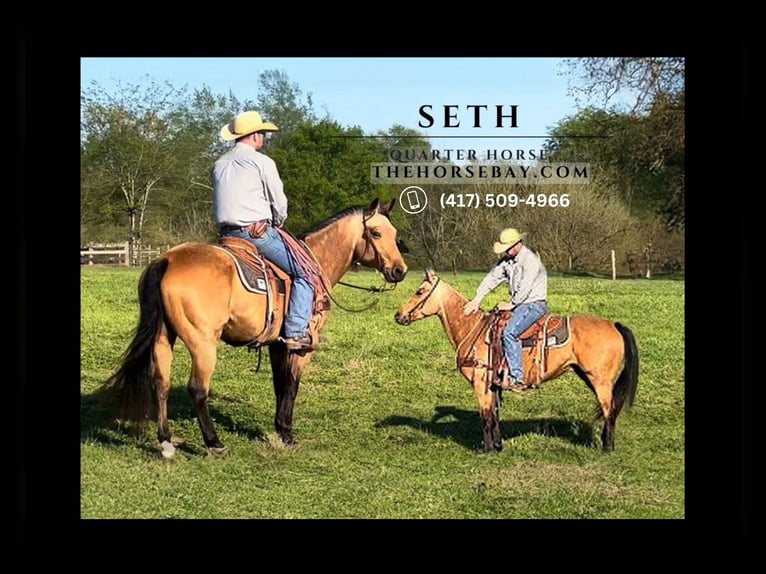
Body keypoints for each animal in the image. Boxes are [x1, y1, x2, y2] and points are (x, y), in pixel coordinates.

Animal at [107, 198, 412, 460]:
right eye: (375, 233)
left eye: (394, 232)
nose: (400, 270)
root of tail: (166, 260)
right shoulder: (302, 347)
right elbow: (291, 387)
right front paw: (287, 435)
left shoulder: (277, 345)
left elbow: (279, 386)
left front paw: (279, 429)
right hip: (203, 343)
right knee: (197, 389)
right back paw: (214, 443)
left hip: (163, 338)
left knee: (161, 384)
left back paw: (167, 443)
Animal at [396, 270, 640, 454]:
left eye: (419, 291)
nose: (398, 315)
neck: (472, 328)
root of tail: (614, 325)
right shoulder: (493, 385)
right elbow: (494, 415)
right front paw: (497, 445)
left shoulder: (481, 383)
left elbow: (485, 416)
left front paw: (486, 449)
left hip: (600, 380)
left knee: (609, 410)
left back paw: (607, 447)